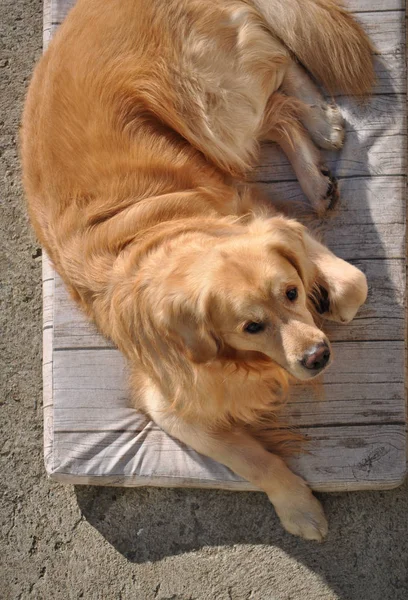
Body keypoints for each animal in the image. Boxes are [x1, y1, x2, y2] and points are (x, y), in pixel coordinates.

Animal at [21, 0, 372, 540]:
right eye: (251, 327)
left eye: (290, 293)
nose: (317, 357)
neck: (160, 234)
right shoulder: (169, 405)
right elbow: (252, 459)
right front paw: (299, 507)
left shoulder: (255, 216)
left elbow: (355, 283)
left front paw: (327, 292)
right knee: (275, 104)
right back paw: (317, 164)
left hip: (213, 105)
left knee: (278, 75)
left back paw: (320, 127)